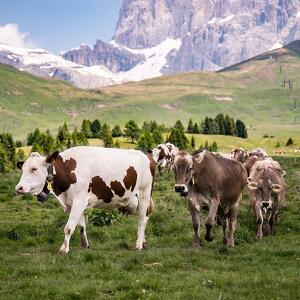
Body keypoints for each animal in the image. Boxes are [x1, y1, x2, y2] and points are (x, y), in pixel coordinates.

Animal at [16, 147, 156, 253]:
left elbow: (68, 227)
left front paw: (64, 249)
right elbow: (81, 226)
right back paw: (143, 242)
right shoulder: (71, 204)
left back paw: (138, 245)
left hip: (144, 193)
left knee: (142, 220)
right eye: (22, 169)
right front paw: (84, 246)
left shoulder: (79, 201)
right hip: (133, 201)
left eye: (34, 169)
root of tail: (146, 157)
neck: (66, 171)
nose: (19, 188)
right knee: (145, 218)